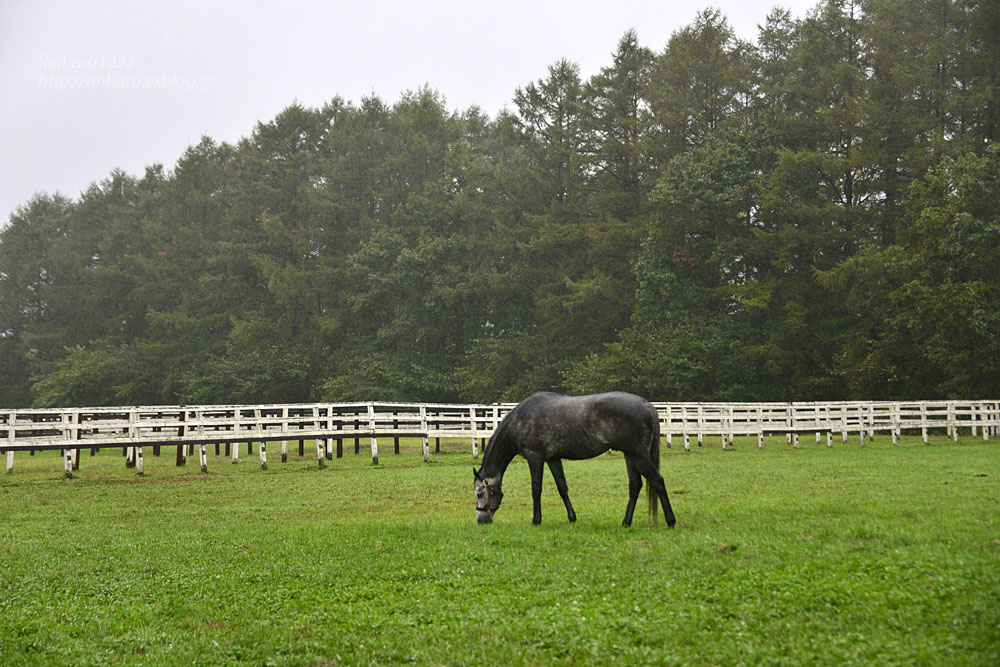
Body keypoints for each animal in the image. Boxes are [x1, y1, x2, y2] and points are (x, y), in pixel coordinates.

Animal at [472, 392, 676, 528]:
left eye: (479, 493)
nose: (482, 520)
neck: (521, 420)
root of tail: (646, 405)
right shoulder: (553, 459)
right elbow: (562, 487)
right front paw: (572, 517)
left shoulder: (535, 457)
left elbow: (536, 489)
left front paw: (536, 520)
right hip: (630, 456)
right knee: (635, 486)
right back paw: (626, 522)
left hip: (637, 455)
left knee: (657, 480)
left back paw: (670, 521)